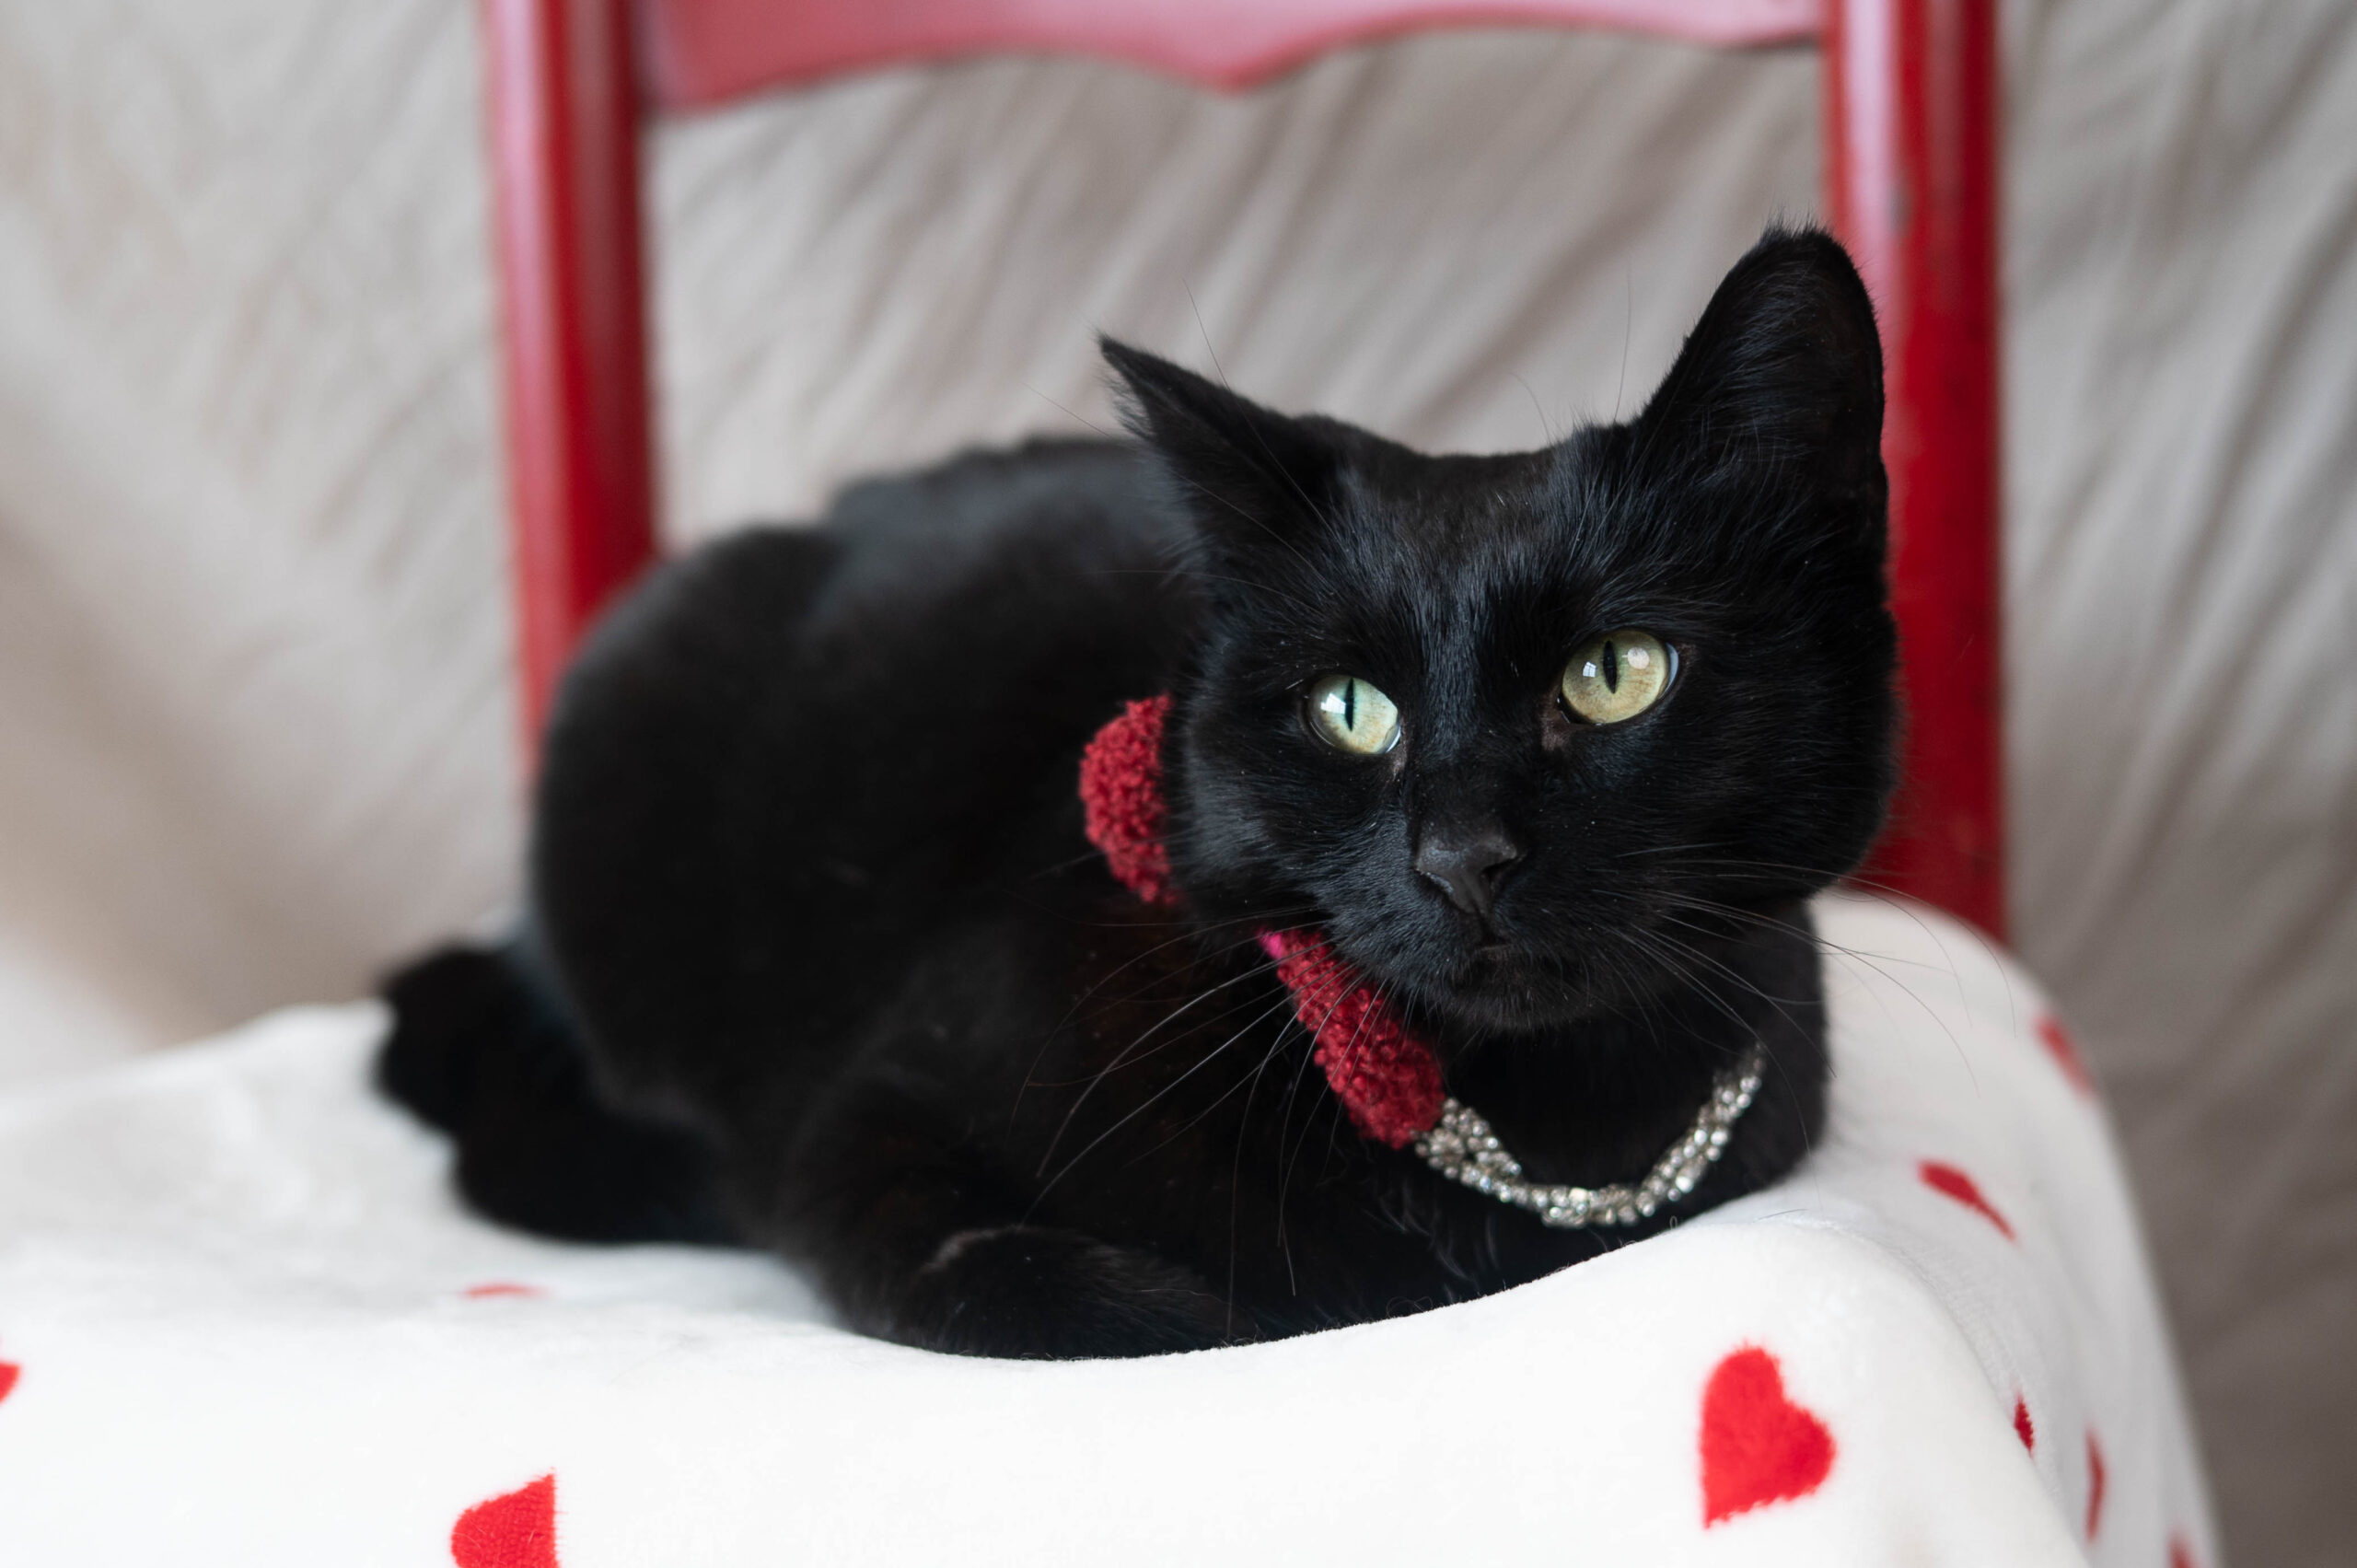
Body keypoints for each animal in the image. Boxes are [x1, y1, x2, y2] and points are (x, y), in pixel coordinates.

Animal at [380, 226, 1894, 1359]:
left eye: (1617, 673)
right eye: (1353, 708)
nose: (1465, 854)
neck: (1546, 1119)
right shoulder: (856, 1135)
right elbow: (1053, 1288)